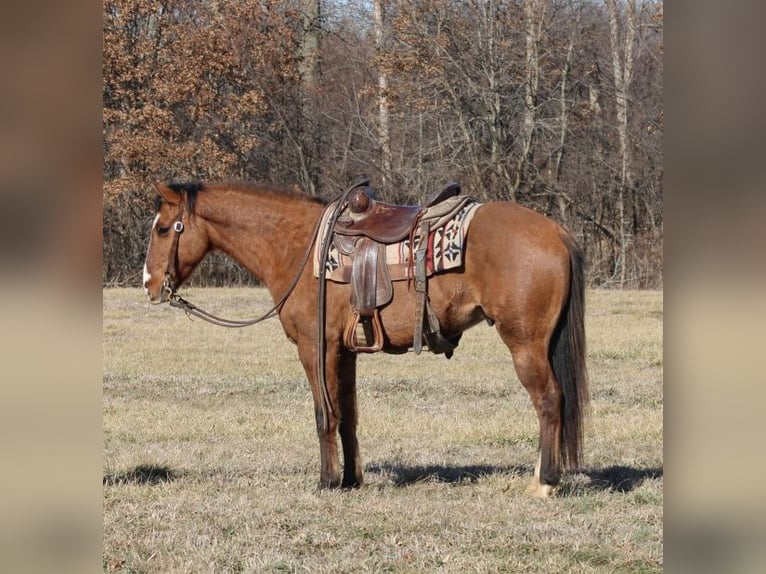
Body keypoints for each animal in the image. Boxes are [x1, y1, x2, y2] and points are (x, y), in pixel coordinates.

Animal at [142, 180, 589, 498]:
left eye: (164, 229)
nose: (149, 284)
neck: (298, 246)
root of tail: (556, 233)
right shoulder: (345, 353)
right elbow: (349, 415)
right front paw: (351, 480)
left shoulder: (316, 348)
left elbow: (324, 414)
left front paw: (326, 481)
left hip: (525, 344)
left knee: (549, 400)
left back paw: (545, 482)